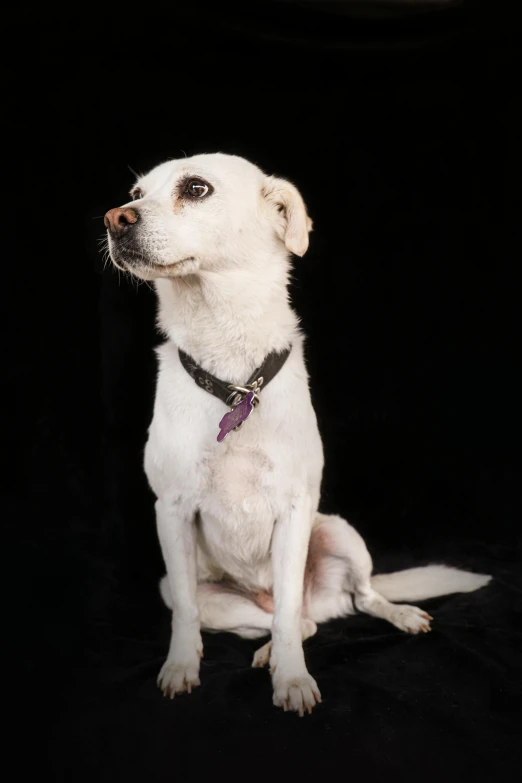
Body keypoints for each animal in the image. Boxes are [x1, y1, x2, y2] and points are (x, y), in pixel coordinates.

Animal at [104, 153, 488, 716]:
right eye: (135, 193)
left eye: (196, 188)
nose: (115, 218)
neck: (235, 383)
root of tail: (324, 601)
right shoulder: (171, 511)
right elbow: (189, 619)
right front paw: (181, 667)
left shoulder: (294, 509)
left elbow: (287, 615)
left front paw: (291, 679)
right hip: (190, 589)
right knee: (291, 619)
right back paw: (267, 649)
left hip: (337, 530)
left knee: (349, 599)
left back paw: (394, 616)